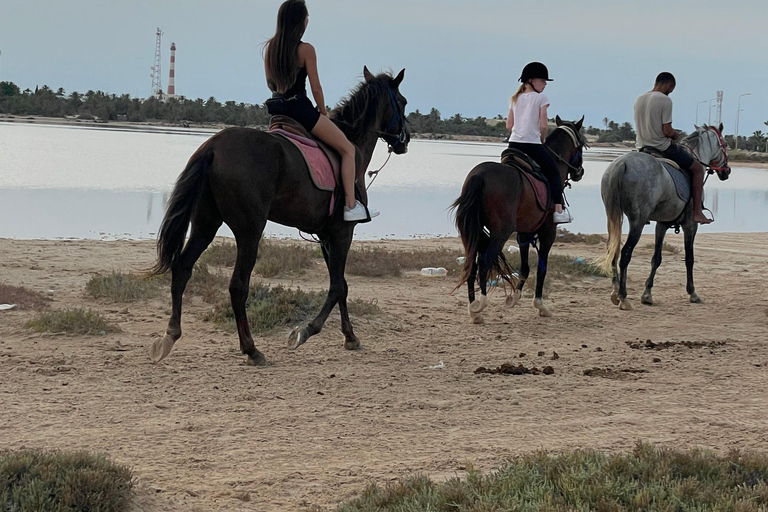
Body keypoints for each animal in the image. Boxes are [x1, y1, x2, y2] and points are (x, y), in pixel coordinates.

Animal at [148, 67, 409, 365]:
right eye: (402, 102)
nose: (405, 139)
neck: (351, 143)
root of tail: (213, 146)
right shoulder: (343, 232)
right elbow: (336, 286)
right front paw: (306, 331)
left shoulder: (325, 236)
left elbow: (341, 284)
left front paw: (350, 336)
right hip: (250, 231)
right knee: (238, 286)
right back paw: (251, 349)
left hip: (205, 225)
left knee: (182, 269)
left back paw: (170, 336)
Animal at [451, 116, 587, 324]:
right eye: (581, 145)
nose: (580, 171)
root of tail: (480, 176)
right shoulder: (549, 232)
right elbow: (541, 268)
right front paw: (540, 305)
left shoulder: (524, 233)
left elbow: (524, 267)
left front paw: (514, 297)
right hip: (500, 233)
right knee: (484, 261)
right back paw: (481, 303)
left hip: (472, 231)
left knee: (471, 263)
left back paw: (474, 310)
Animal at [596, 123, 730, 310]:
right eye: (725, 144)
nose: (727, 171)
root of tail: (621, 164)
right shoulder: (690, 225)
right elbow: (689, 259)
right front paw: (692, 293)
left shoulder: (662, 224)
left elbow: (656, 259)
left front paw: (647, 294)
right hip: (637, 222)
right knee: (625, 254)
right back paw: (623, 297)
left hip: (613, 216)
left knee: (613, 249)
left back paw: (615, 291)